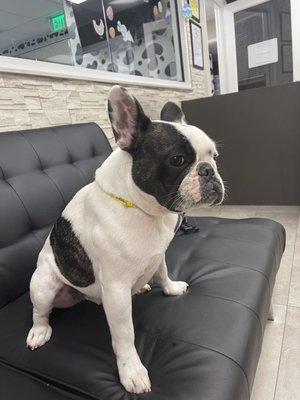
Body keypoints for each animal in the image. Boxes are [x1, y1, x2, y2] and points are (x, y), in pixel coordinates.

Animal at [27, 86, 224, 394]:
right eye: (177, 160)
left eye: (214, 156)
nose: (208, 170)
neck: (146, 210)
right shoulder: (116, 290)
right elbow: (125, 335)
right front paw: (131, 371)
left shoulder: (158, 254)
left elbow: (162, 272)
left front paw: (170, 288)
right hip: (44, 284)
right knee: (40, 310)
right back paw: (39, 331)